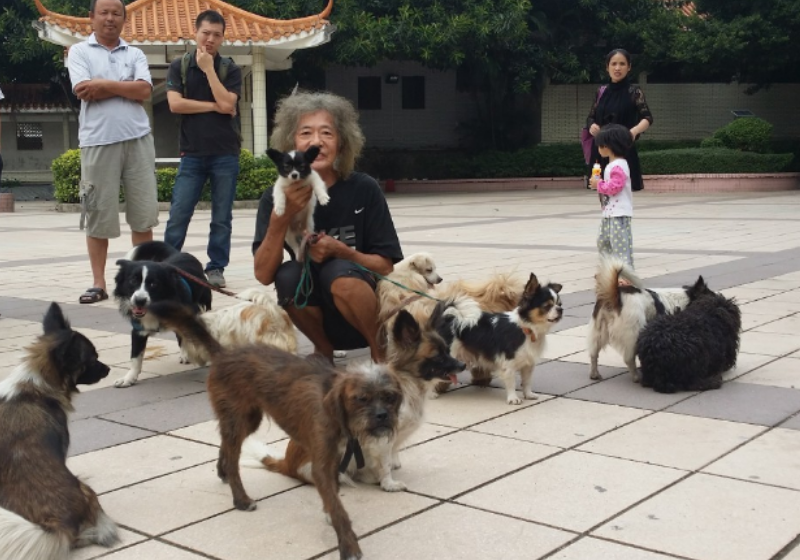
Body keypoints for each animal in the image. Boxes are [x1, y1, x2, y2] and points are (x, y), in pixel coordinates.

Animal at [113, 241, 212, 390]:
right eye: (133, 281)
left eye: (153, 283)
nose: (139, 300)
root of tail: (179, 253)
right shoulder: (138, 329)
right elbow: (135, 356)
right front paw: (128, 378)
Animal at [146, 302, 400, 560]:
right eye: (361, 399)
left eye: (391, 397)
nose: (382, 416)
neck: (338, 415)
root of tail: (224, 354)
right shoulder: (321, 465)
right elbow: (338, 507)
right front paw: (348, 544)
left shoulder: (335, 459)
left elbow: (334, 496)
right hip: (239, 420)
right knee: (233, 458)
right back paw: (241, 499)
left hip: (247, 420)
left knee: (225, 446)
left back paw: (223, 471)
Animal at [438, 274, 564, 404]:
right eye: (547, 306)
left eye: (560, 304)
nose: (560, 310)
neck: (526, 329)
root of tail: (449, 317)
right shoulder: (508, 364)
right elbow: (511, 382)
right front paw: (513, 398)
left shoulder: (528, 365)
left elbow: (527, 382)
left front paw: (528, 395)